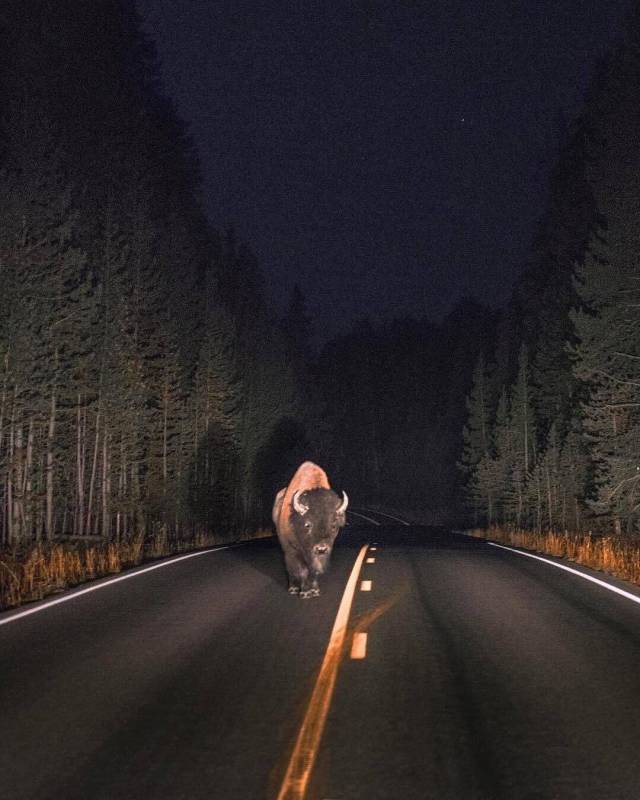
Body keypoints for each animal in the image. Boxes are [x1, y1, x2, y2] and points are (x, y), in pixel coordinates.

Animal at [272, 460, 348, 596]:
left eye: (334, 525)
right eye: (308, 524)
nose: (321, 549)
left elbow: (314, 570)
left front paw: (314, 590)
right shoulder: (293, 550)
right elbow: (301, 570)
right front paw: (305, 592)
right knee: (290, 569)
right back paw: (293, 588)